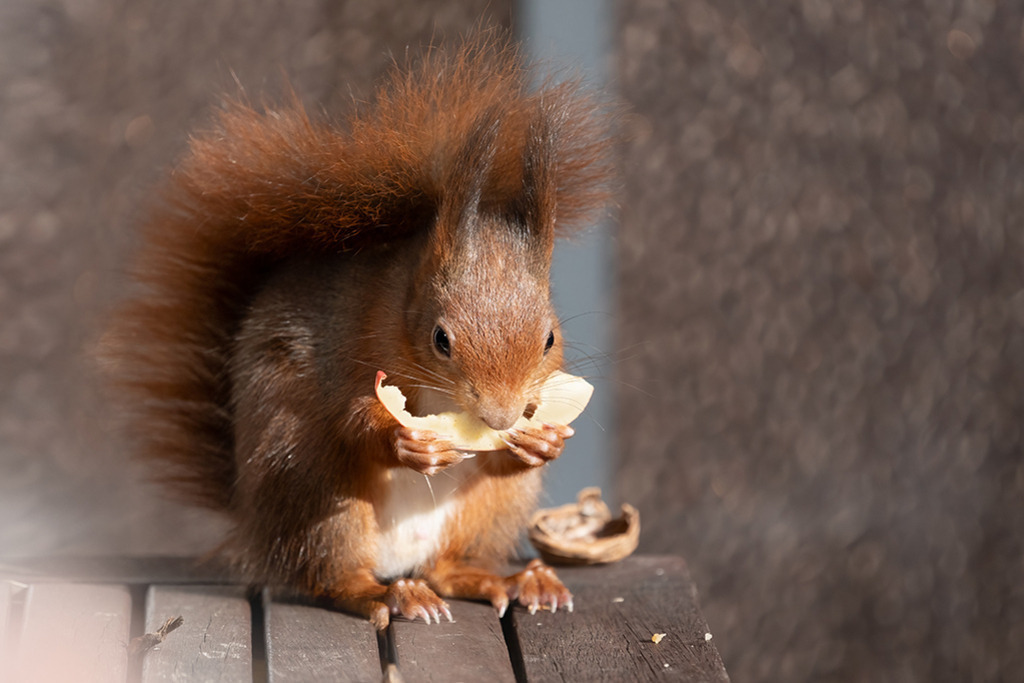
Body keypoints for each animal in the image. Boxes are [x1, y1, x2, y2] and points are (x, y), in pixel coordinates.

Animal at [103, 35, 613, 629]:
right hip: (315, 485)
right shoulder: (348, 348)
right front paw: (405, 442)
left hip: (492, 509)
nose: (502, 417)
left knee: (449, 567)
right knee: (332, 575)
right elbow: (352, 420)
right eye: (441, 338)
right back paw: (390, 595)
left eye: (550, 338)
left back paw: (510, 579)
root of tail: (256, 525)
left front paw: (543, 442)